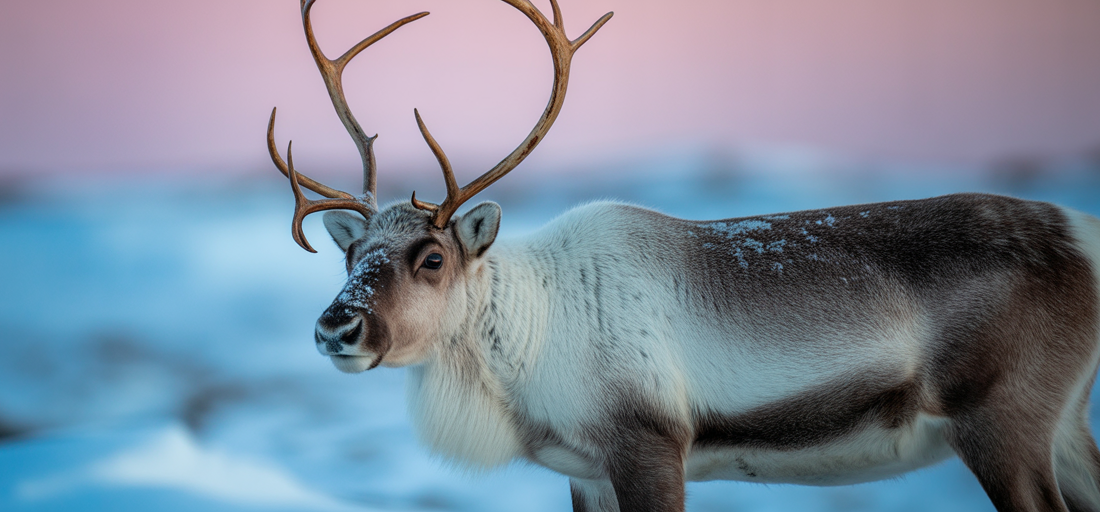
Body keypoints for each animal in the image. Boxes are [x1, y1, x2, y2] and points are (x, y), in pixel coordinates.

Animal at [266, 1, 1100, 511]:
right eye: (351, 255)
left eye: (432, 256)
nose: (337, 328)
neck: (531, 339)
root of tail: (1082, 236)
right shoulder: (587, 474)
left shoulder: (650, 447)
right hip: (1061, 427)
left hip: (1000, 421)